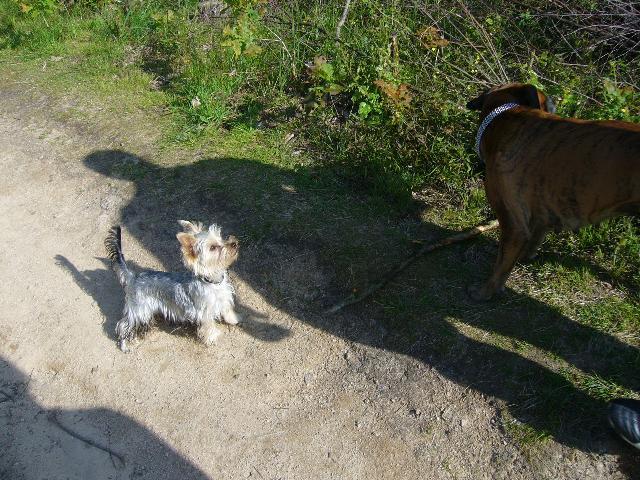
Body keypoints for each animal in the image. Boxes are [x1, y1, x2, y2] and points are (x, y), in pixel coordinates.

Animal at [464, 82, 640, 300]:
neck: (506, 115)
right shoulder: (540, 215)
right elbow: (534, 238)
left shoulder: (513, 222)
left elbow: (501, 264)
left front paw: (485, 291)